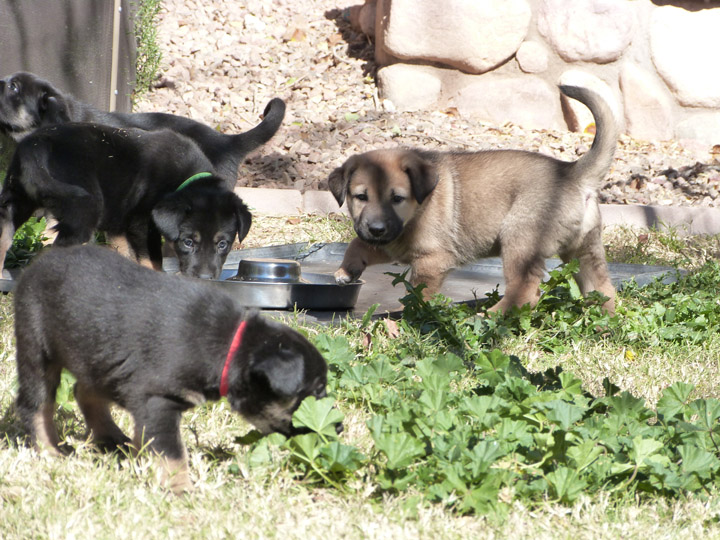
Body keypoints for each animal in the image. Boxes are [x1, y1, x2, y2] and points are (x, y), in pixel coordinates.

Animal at [0, 120, 250, 276]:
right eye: (188, 242)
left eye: (223, 244)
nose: (205, 279)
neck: (185, 179)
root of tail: (37, 144)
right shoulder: (142, 223)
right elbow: (152, 261)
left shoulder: (118, 223)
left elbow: (122, 252)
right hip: (82, 215)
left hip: (15, 201)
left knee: (4, 239)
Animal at [14, 247, 332, 492]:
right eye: (316, 390)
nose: (337, 426)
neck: (231, 347)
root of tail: (36, 264)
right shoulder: (158, 402)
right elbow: (173, 454)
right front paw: (181, 489)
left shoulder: (148, 404)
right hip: (37, 351)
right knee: (36, 405)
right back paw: (51, 451)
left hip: (99, 357)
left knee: (84, 390)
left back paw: (111, 438)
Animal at [330, 84, 616, 312]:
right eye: (361, 196)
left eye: (397, 198)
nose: (377, 229)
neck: (418, 211)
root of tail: (572, 172)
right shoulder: (390, 244)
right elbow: (357, 243)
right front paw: (346, 270)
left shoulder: (432, 260)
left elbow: (418, 294)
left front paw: (414, 316)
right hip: (584, 250)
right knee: (603, 289)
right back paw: (604, 326)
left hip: (520, 239)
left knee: (525, 290)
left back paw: (488, 317)